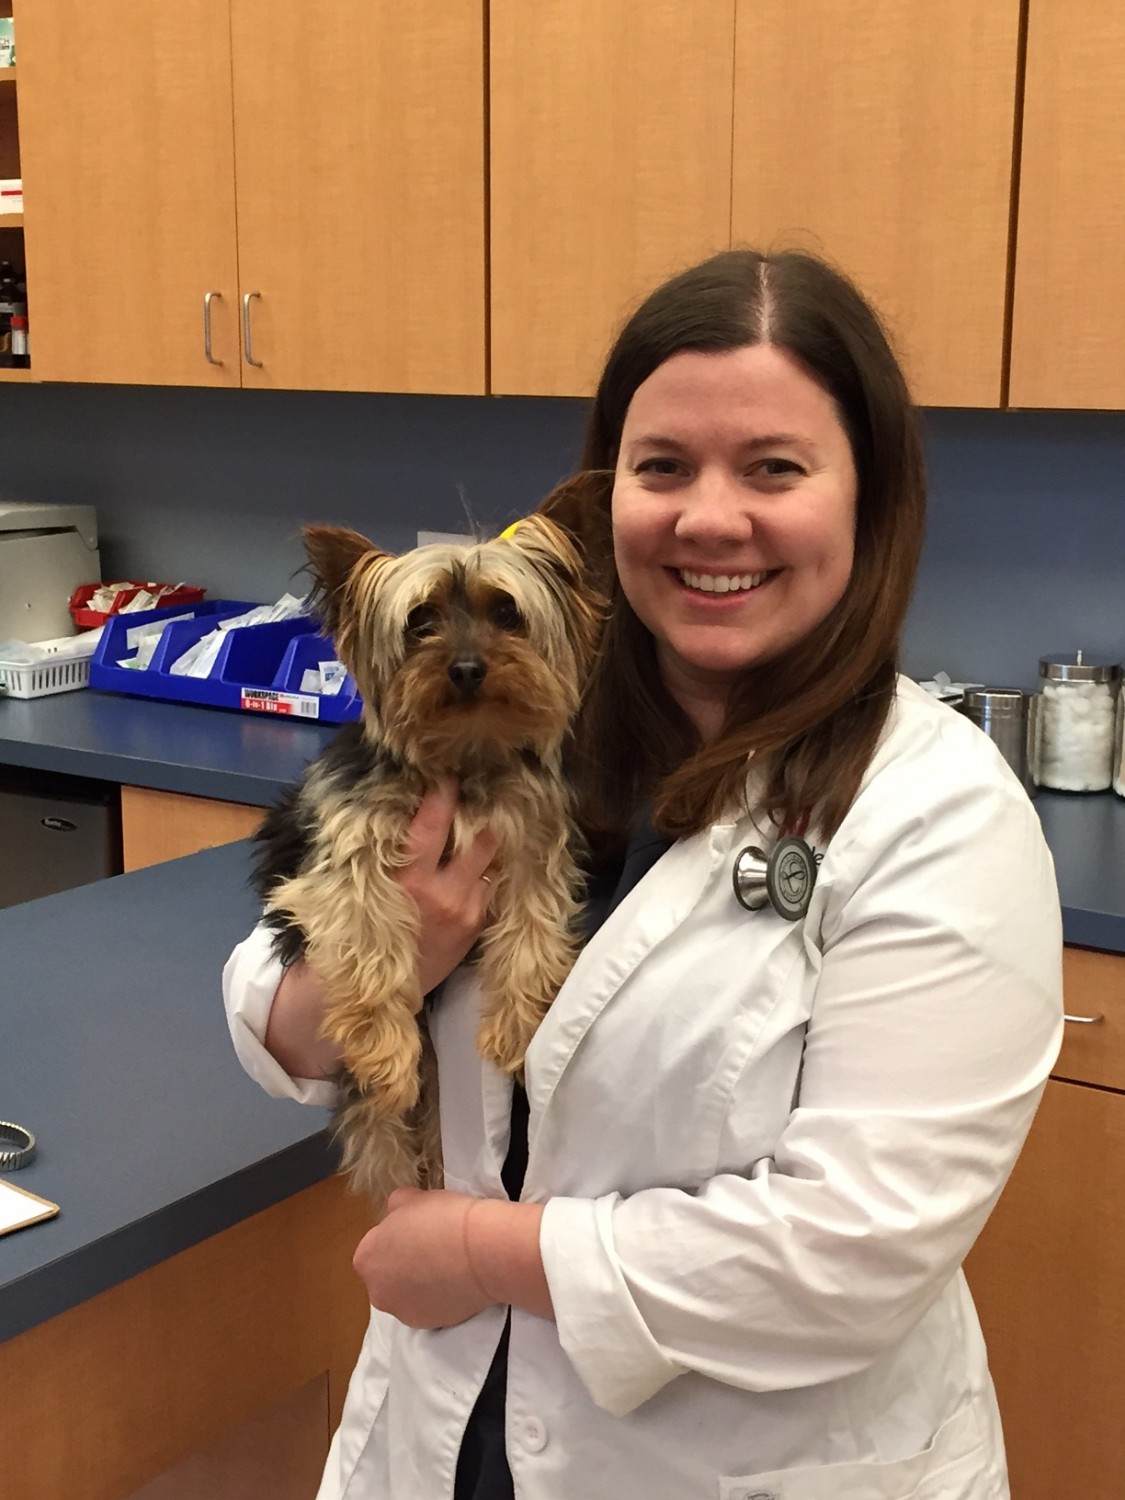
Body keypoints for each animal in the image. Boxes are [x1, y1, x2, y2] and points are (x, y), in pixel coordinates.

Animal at [250, 516, 603, 1194]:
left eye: (507, 613)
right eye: (420, 620)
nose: (466, 668)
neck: (464, 757)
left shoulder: (533, 842)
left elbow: (534, 928)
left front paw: (516, 1030)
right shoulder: (342, 857)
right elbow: (369, 934)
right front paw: (384, 1051)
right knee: (384, 1125)